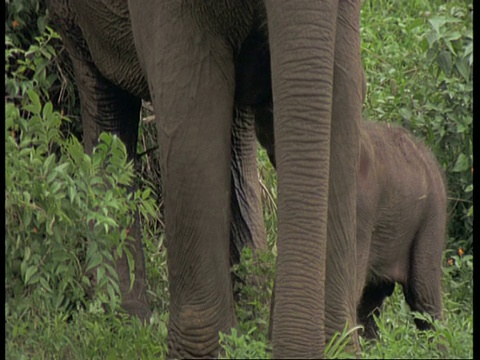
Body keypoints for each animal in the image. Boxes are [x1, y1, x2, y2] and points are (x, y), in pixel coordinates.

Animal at [47, 0, 364, 358]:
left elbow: (344, 97)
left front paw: (338, 345)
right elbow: (193, 110)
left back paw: (249, 313)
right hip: (72, 21)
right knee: (105, 102)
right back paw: (123, 323)